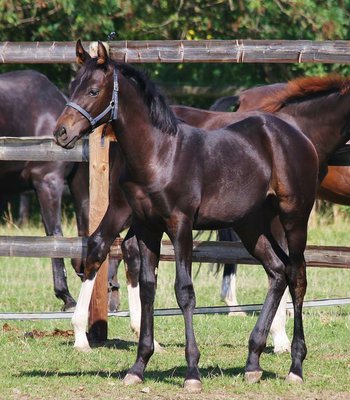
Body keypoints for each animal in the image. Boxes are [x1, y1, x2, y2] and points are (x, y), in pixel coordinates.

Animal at [54, 42, 318, 392]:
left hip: (293, 218)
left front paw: (192, 371)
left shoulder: (180, 225)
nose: (61, 132)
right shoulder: (147, 227)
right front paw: (138, 366)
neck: (159, 154)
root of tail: (298, 137)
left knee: (297, 277)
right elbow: (148, 287)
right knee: (277, 271)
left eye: (93, 90)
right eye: (72, 87)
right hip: (250, 225)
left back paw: (296, 366)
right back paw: (252, 362)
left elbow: (184, 291)